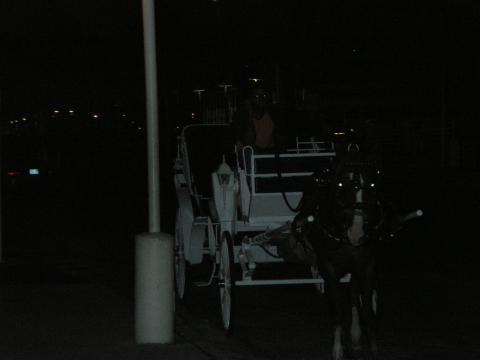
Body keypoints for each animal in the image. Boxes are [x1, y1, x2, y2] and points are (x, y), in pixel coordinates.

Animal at [290, 146, 388, 360]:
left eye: (373, 184)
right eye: (341, 184)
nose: (357, 233)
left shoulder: (366, 265)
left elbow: (367, 310)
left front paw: (373, 348)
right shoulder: (330, 268)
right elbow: (336, 309)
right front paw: (337, 349)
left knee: (353, 296)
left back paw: (356, 336)